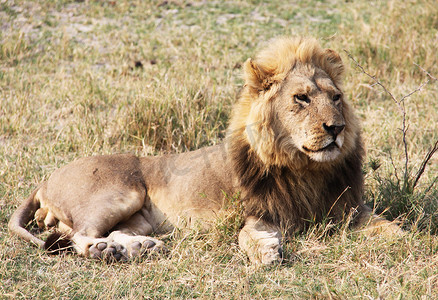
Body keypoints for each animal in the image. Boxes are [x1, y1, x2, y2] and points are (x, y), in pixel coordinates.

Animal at [8, 37, 402, 264]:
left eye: (335, 98)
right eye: (301, 98)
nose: (336, 128)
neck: (306, 168)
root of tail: (45, 180)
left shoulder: (351, 209)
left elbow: (389, 226)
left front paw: (406, 239)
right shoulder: (260, 212)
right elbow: (248, 235)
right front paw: (266, 253)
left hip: (138, 216)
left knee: (113, 233)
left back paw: (137, 248)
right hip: (118, 194)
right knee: (80, 237)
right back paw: (105, 252)